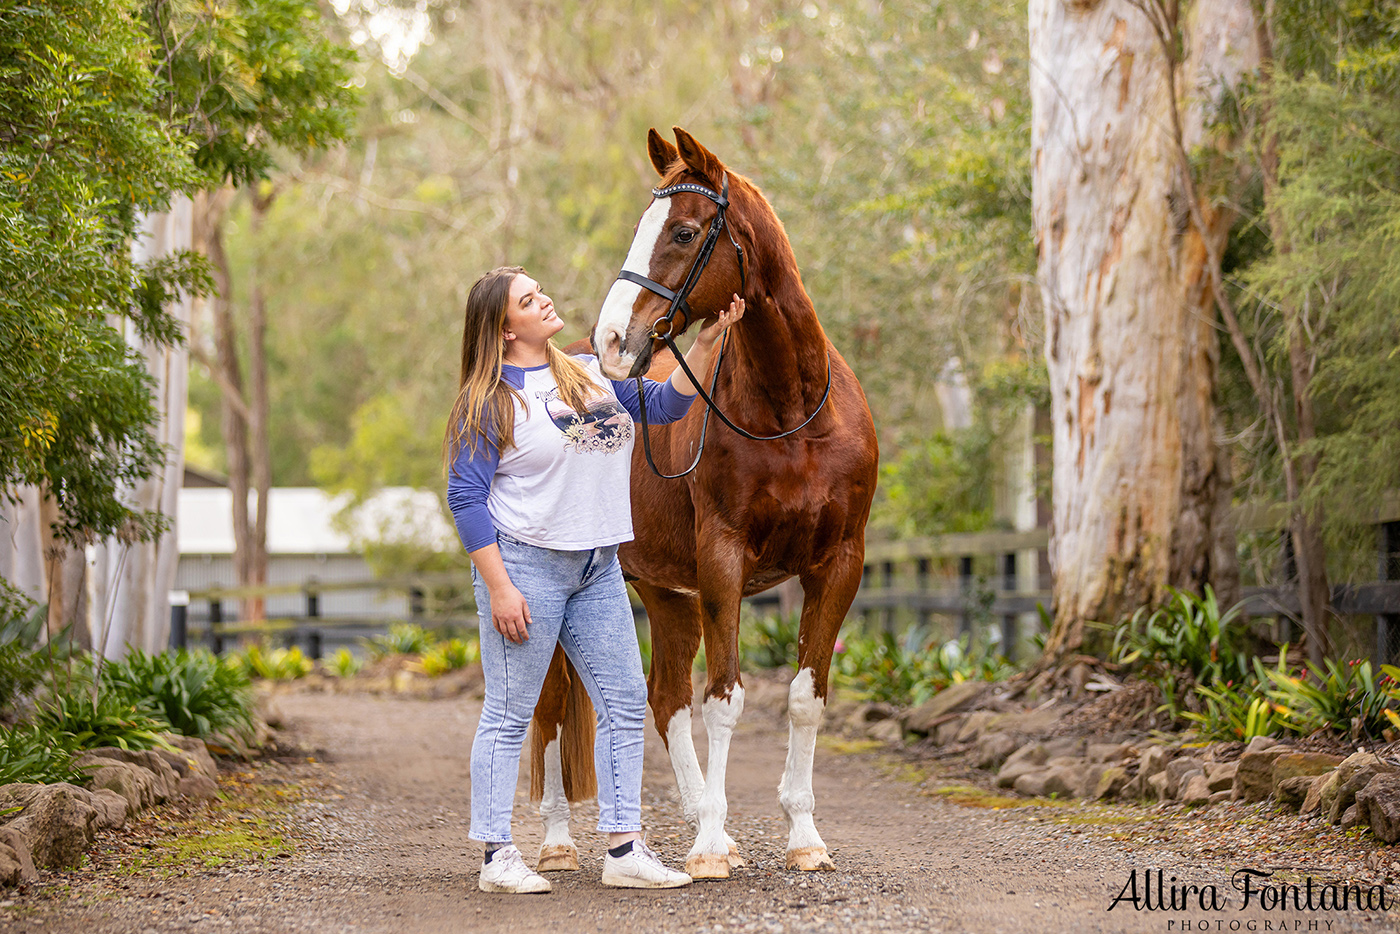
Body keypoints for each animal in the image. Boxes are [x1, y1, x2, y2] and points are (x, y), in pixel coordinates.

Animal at [526, 128, 873, 879]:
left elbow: (804, 699)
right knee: (553, 706)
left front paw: (803, 836)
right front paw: (712, 846)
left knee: (663, 700)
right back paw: (560, 841)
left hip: (665, 592)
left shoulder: (838, 564)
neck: (791, 414)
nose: (613, 341)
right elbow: (725, 700)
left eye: (683, 232)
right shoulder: (724, 560)